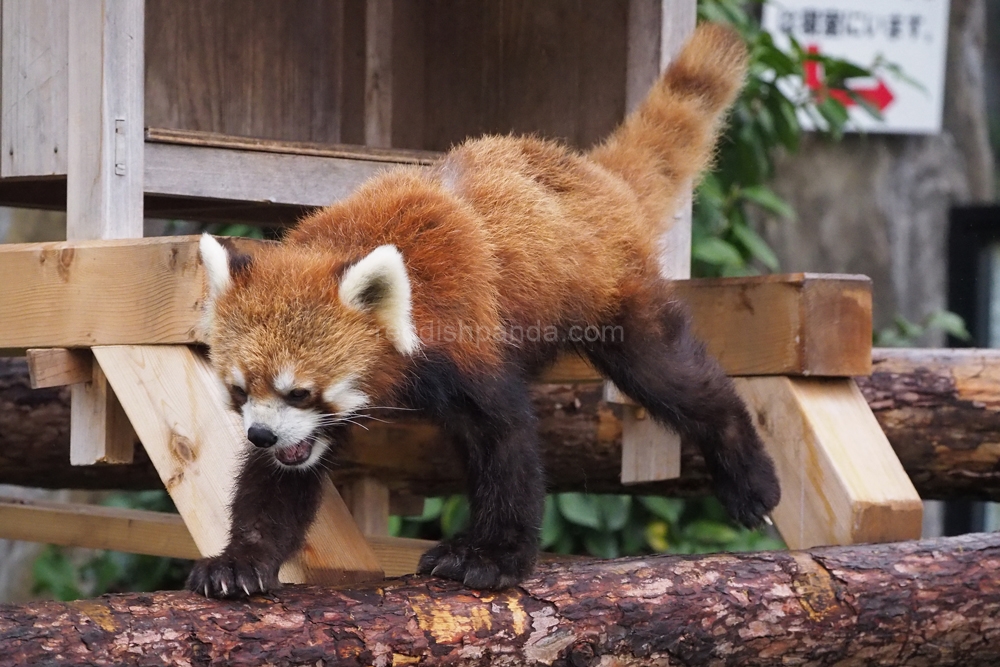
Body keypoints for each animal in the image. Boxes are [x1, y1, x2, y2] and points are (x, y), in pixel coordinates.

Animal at [188, 24, 780, 600]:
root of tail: (595, 175)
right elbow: (278, 482)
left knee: (670, 375)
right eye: (240, 391)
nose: (260, 435)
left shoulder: (466, 333)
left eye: (300, 392)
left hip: (614, 296)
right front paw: (240, 561)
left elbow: (505, 439)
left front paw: (492, 557)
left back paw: (748, 474)